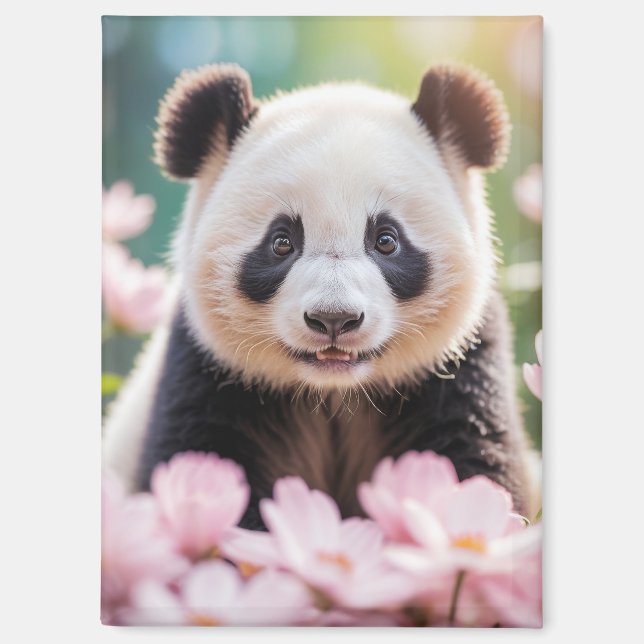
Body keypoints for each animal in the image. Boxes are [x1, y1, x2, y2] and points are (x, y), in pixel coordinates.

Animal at [103, 62, 537, 529]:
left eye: (386, 240)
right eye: (281, 242)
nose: (334, 319)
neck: (334, 393)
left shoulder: (460, 367)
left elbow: (472, 463)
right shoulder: (206, 370)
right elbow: (204, 471)